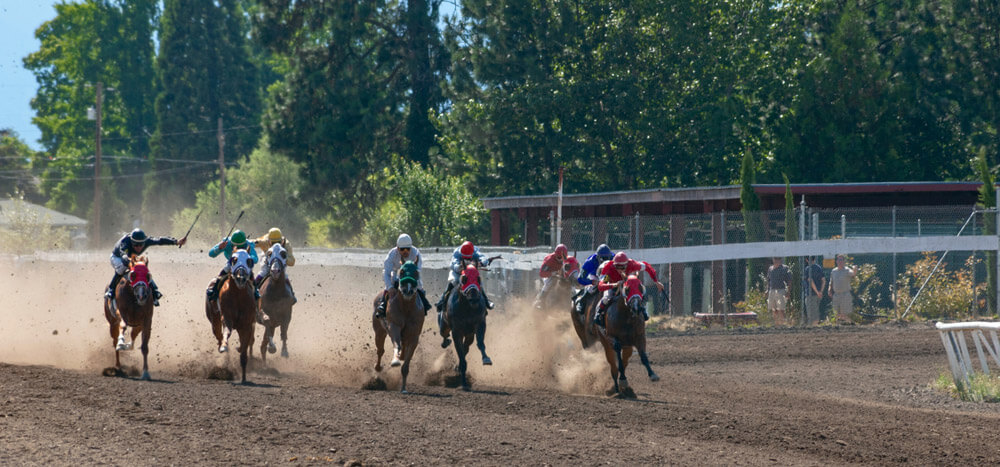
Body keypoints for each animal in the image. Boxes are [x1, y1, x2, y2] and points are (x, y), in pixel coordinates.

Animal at [203, 250, 256, 386]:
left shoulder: (247, 325)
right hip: (214, 320)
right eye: (234, 259)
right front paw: (224, 346)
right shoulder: (227, 318)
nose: (241, 278)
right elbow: (226, 333)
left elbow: (244, 351)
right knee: (218, 335)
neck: (238, 295)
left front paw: (244, 378)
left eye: (249, 260)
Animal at [374, 262, 424, 394]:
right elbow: (397, 345)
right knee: (380, 350)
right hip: (379, 331)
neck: (406, 308)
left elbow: (406, 364)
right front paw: (395, 361)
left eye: (416, 272)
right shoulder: (394, 327)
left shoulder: (414, 336)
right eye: (401, 271)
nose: (408, 290)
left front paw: (404, 388)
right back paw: (378, 367)